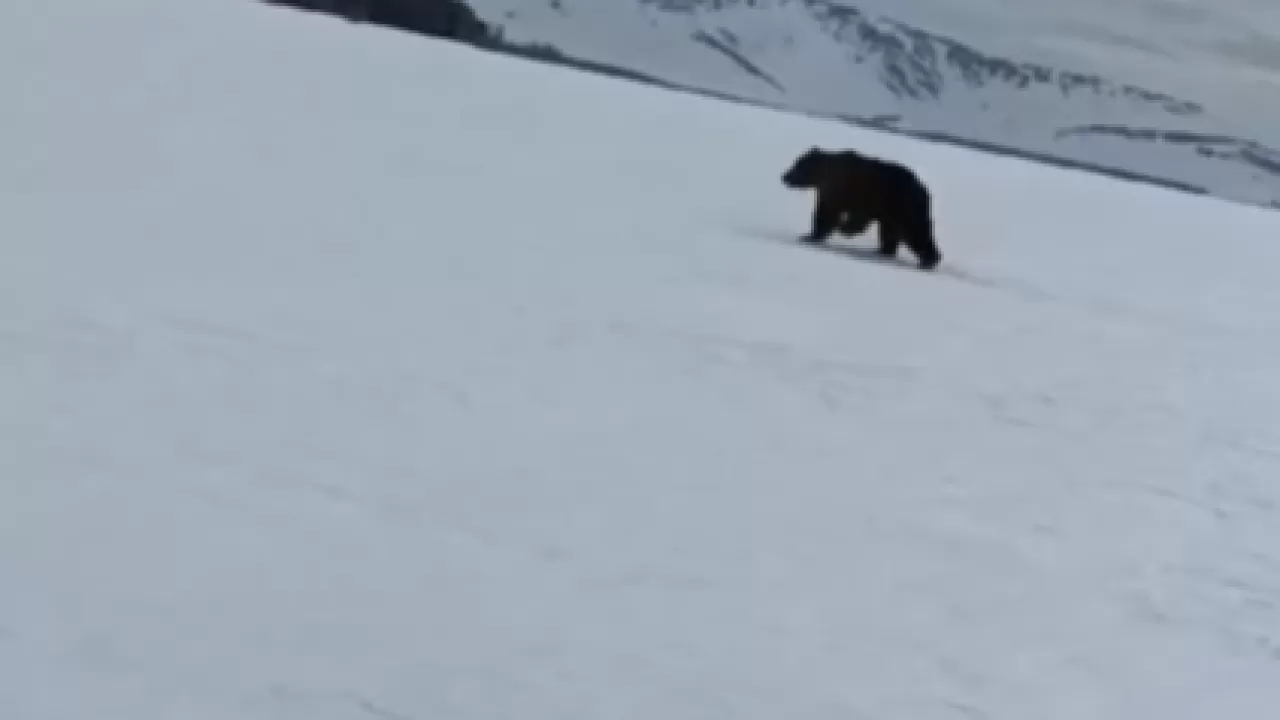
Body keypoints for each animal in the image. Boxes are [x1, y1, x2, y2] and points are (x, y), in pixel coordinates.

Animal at [778, 146, 942, 269]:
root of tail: (925, 191)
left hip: (904, 205)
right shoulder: (832, 193)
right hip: (893, 213)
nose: (784, 176)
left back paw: (929, 260)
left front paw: (835, 229)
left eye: (797, 164)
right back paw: (883, 251)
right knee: (890, 232)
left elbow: (832, 214)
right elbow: (823, 212)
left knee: (916, 231)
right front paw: (810, 234)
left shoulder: (851, 192)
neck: (824, 174)